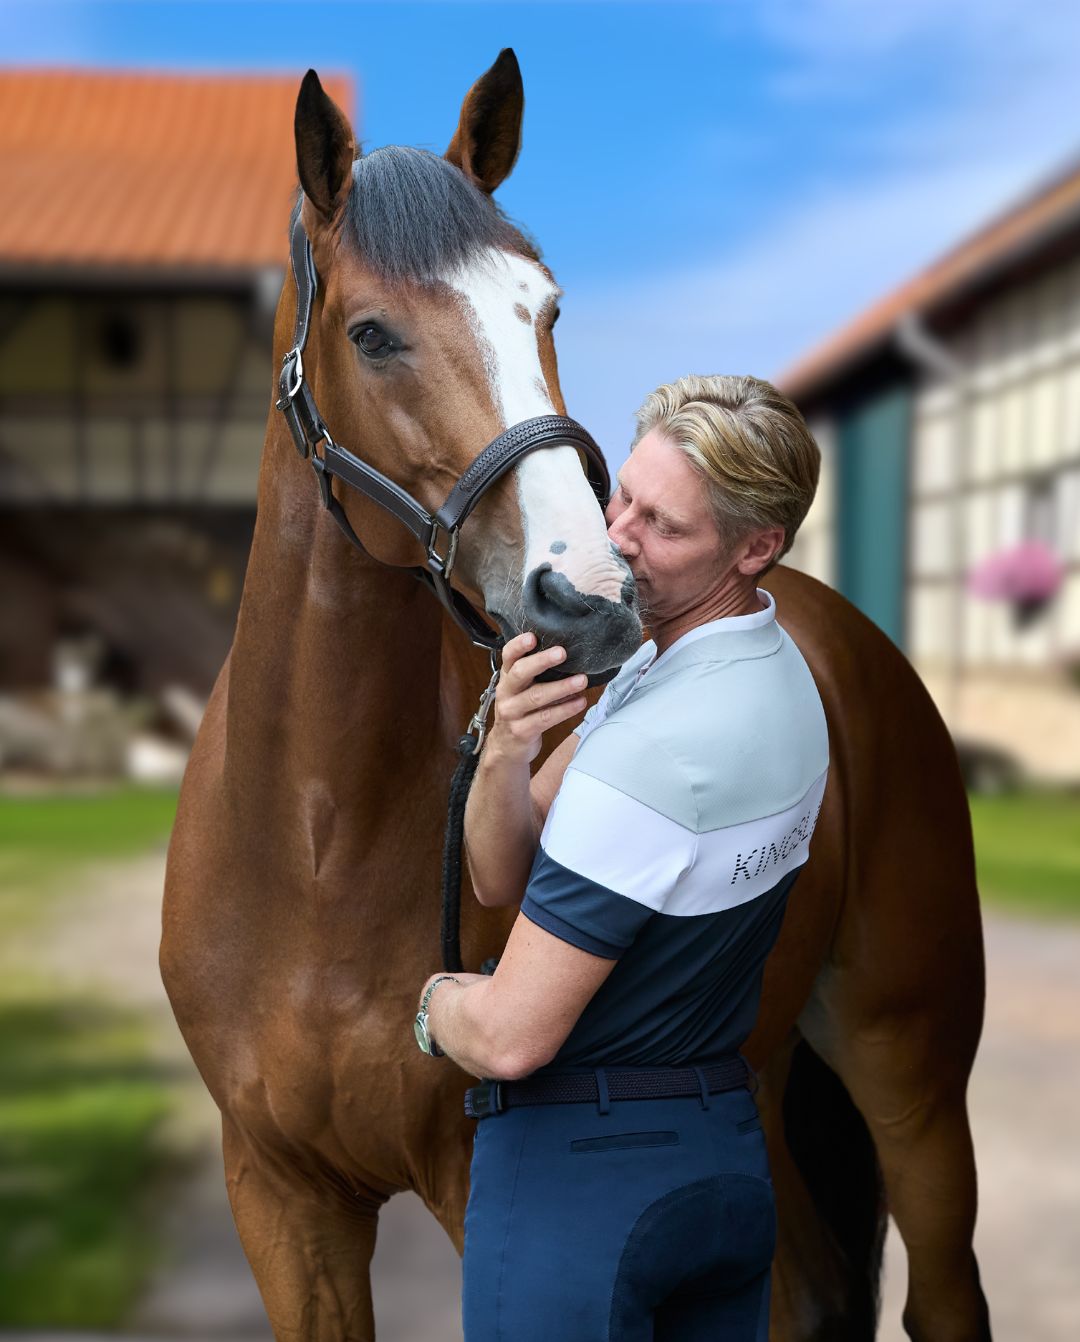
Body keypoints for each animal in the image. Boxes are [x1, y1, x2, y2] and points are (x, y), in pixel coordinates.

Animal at [155, 52, 992, 1342]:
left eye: (546, 310)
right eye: (373, 333)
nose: (587, 600)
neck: (314, 840)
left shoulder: (479, 1188)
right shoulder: (283, 1199)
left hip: (913, 1078)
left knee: (942, 1292)